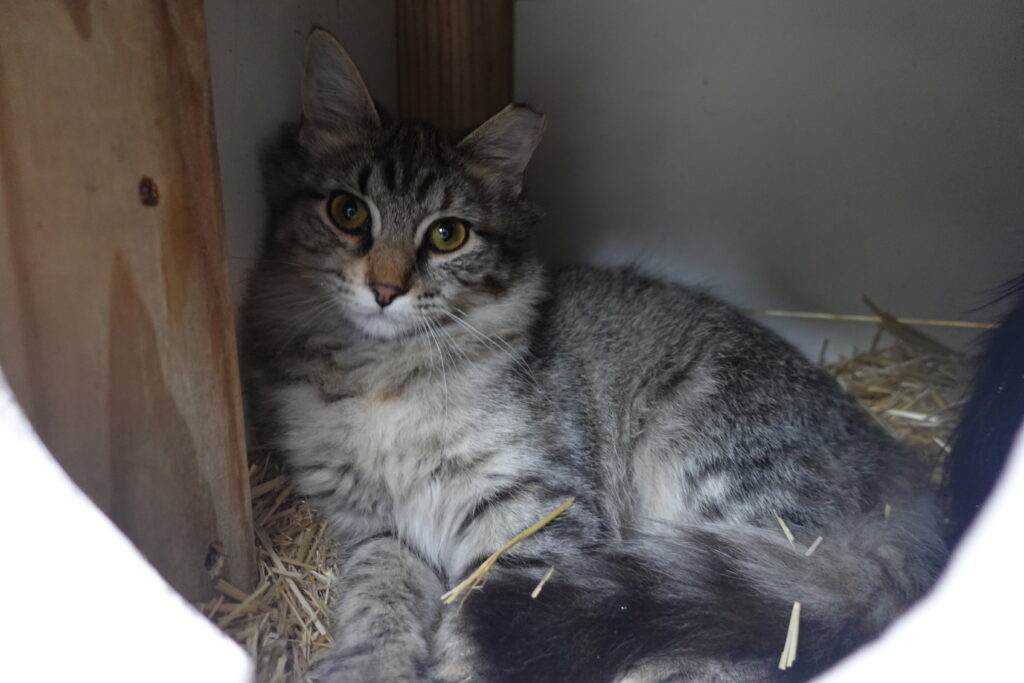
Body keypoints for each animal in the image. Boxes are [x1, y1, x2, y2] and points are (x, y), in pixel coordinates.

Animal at [239, 29, 942, 679]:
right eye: (347, 212)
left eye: (445, 235)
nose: (386, 290)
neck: (382, 373)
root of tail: (898, 473)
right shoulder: (376, 527)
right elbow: (376, 602)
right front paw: (366, 665)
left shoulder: (530, 514)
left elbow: (477, 629)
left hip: (727, 480)